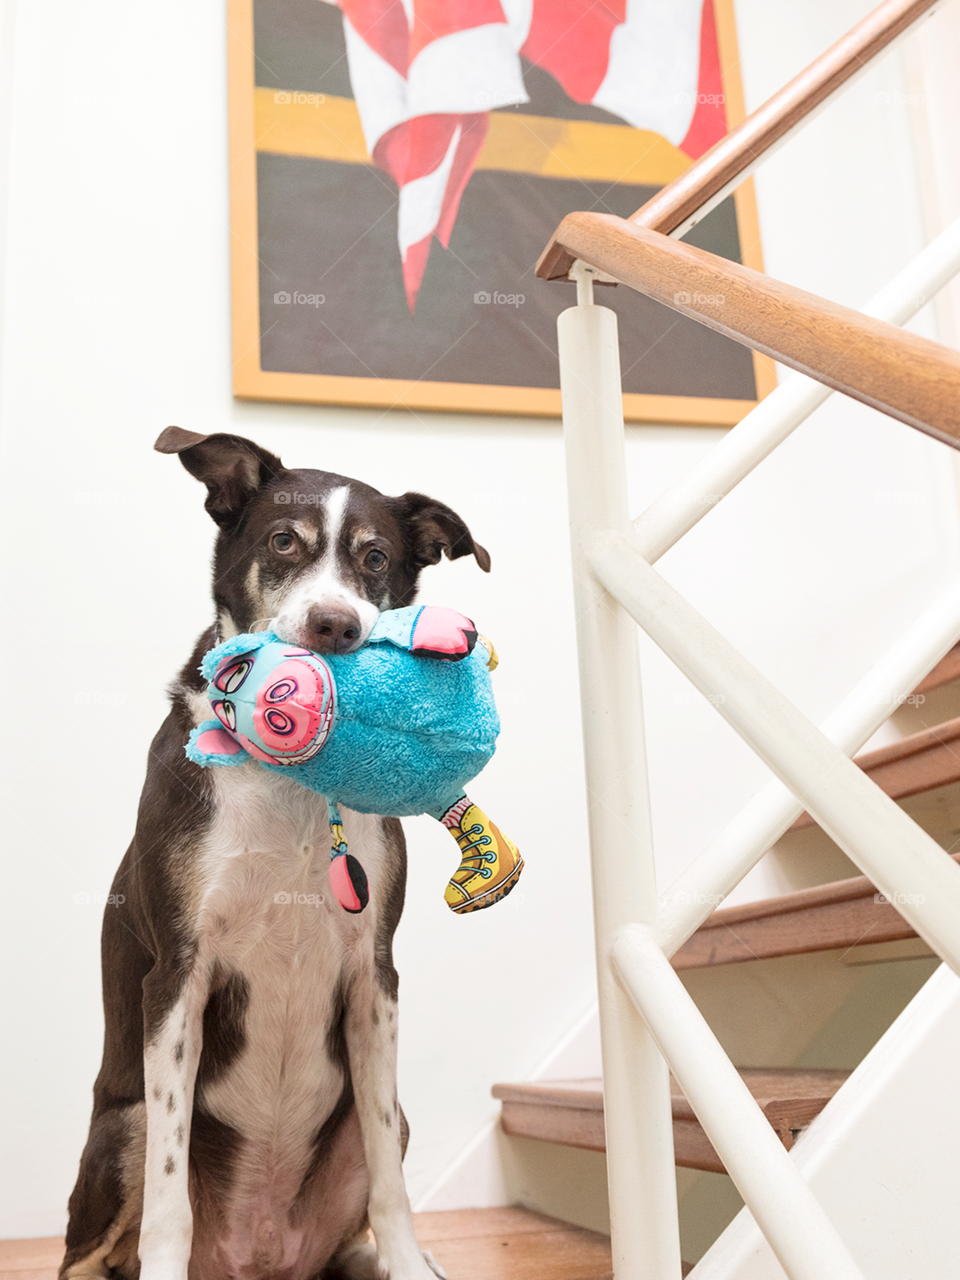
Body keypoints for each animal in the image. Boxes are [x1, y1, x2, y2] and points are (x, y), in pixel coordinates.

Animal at [60, 432, 491, 1280]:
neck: (291, 782)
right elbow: (168, 1198)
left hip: (377, 1123)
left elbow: (391, 1186)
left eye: (376, 559)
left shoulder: (374, 978)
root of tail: (256, 1261)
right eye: (284, 542)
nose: (335, 627)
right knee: (85, 1252)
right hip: (121, 1128)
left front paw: (407, 1258)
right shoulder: (179, 974)